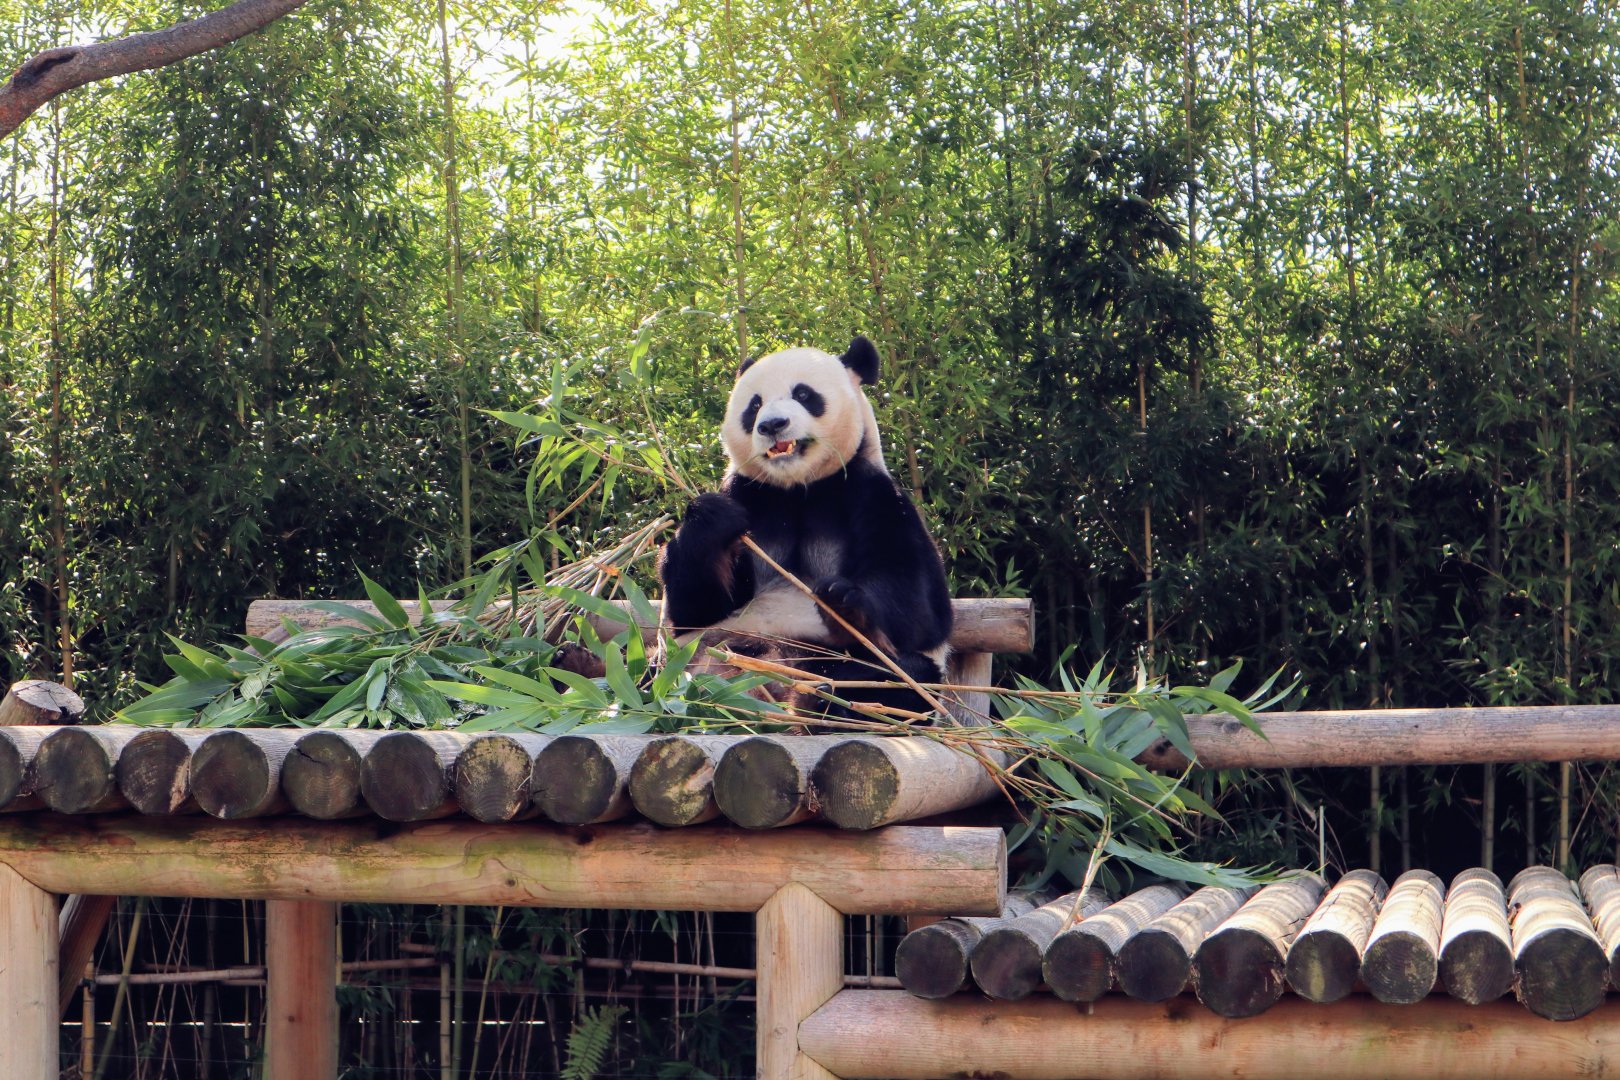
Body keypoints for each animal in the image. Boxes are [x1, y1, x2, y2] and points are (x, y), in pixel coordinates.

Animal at [658, 335, 952, 716]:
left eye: (803, 394)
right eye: (754, 405)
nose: (772, 424)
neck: (799, 488)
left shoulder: (874, 495)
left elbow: (917, 609)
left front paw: (843, 603)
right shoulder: (750, 494)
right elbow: (692, 609)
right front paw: (712, 517)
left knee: (900, 678)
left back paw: (824, 700)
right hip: (695, 661)